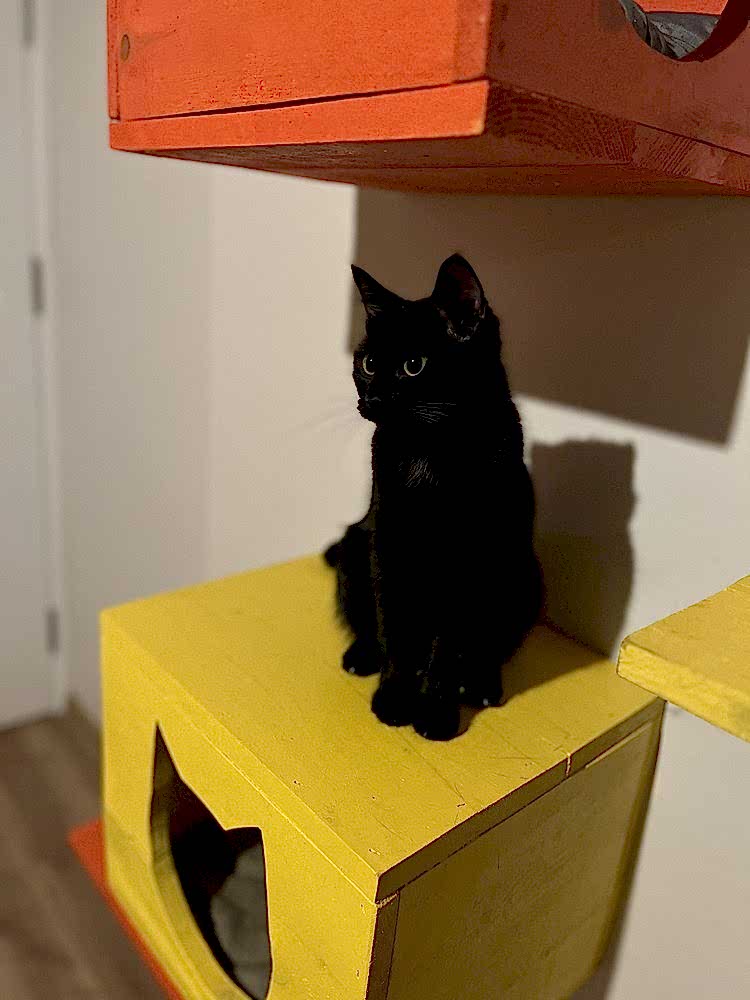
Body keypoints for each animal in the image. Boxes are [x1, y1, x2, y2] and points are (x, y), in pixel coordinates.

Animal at [326, 255, 542, 741]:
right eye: (369, 362)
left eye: (414, 365)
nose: (373, 400)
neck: (428, 451)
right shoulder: (387, 541)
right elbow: (394, 629)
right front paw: (392, 698)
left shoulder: (469, 562)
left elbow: (447, 648)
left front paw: (435, 713)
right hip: (354, 546)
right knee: (366, 618)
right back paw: (362, 655)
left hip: (523, 574)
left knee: (488, 647)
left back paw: (481, 684)